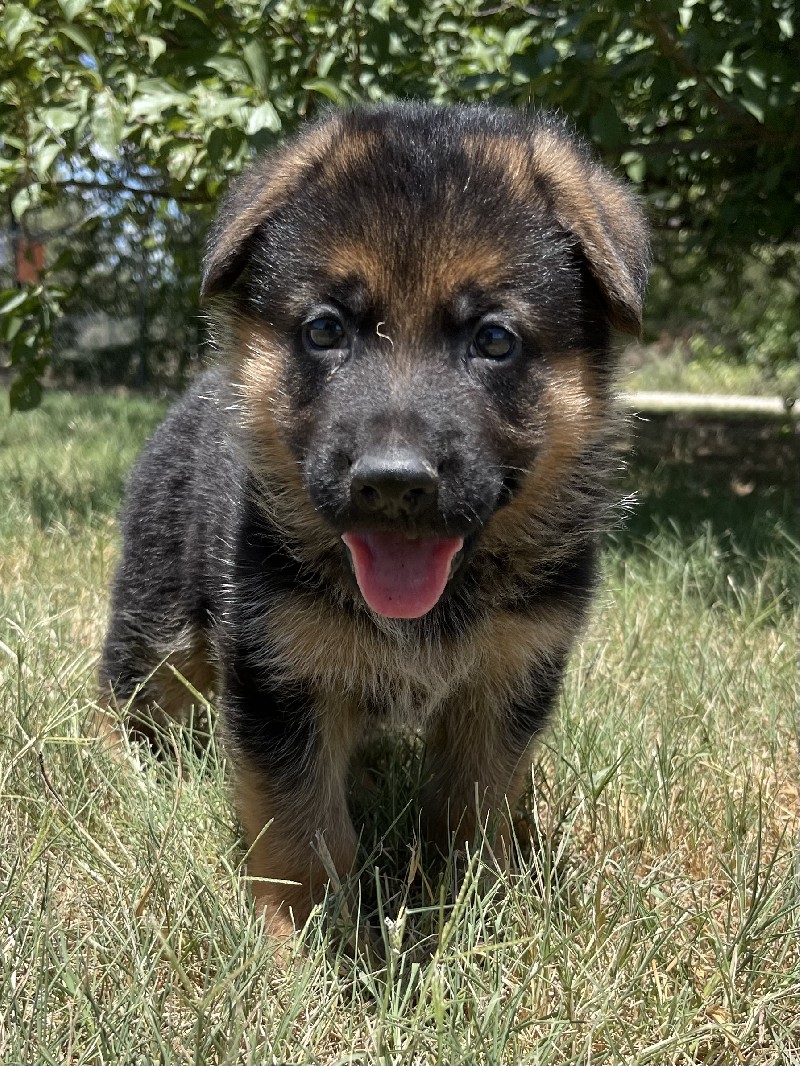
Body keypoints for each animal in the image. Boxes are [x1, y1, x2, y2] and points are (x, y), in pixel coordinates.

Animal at [100, 100, 652, 933]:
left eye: (494, 339)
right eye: (326, 330)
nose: (392, 484)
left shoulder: (508, 678)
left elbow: (477, 805)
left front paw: (483, 910)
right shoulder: (280, 674)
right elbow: (303, 827)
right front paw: (300, 941)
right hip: (158, 612)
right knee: (132, 690)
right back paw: (117, 771)